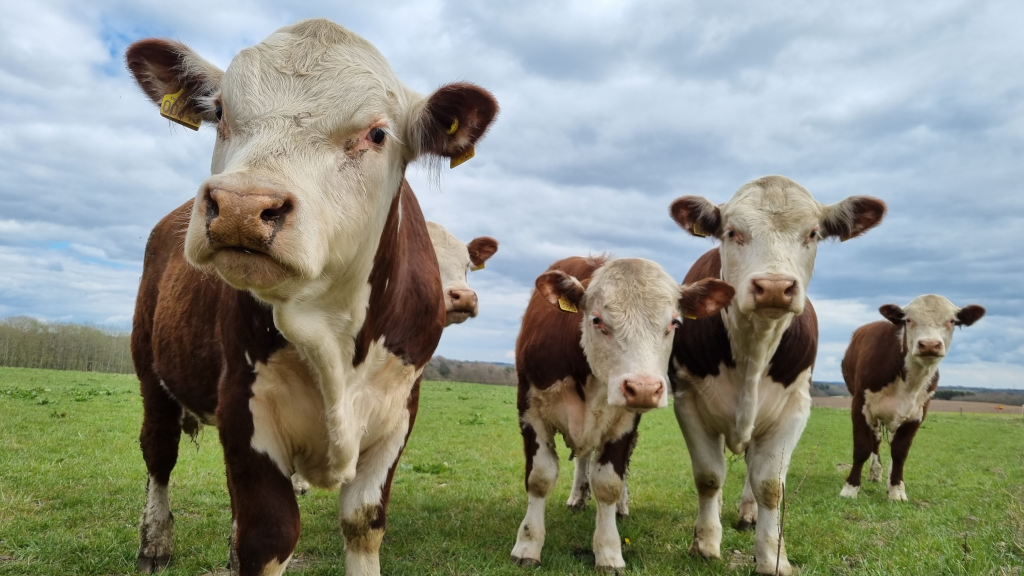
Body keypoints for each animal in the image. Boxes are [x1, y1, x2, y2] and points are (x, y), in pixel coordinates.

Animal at [125, 19, 497, 576]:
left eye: (377, 133)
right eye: (221, 113)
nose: (241, 206)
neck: (331, 332)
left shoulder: (397, 415)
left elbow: (363, 523)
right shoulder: (244, 405)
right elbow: (269, 534)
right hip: (151, 371)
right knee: (158, 453)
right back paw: (154, 542)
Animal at [511, 255, 734, 573]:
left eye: (674, 322)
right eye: (597, 320)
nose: (643, 388)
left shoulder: (624, 425)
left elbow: (608, 483)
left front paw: (608, 551)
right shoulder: (531, 413)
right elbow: (540, 478)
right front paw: (528, 545)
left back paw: (620, 508)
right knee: (583, 459)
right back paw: (577, 497)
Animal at [667, 175, 886, 575]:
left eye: (813, 233)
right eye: (732, 232)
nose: (773, 287)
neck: (754, 346)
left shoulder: (794, 408)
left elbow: (769, 485)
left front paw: (772, 556)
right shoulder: (687, 400)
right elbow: (709, 476)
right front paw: (705, 542)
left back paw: (748, 512)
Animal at [839, 295, 985, 501]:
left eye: (951, 321)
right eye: (908, 320)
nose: (930, 344)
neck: (909, 380)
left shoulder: (917, 413)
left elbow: (900, 452)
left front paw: (896, 489)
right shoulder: (861, 406)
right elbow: (862, 447)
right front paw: (850, 488)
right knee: (876, 440)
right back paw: (875, 472)